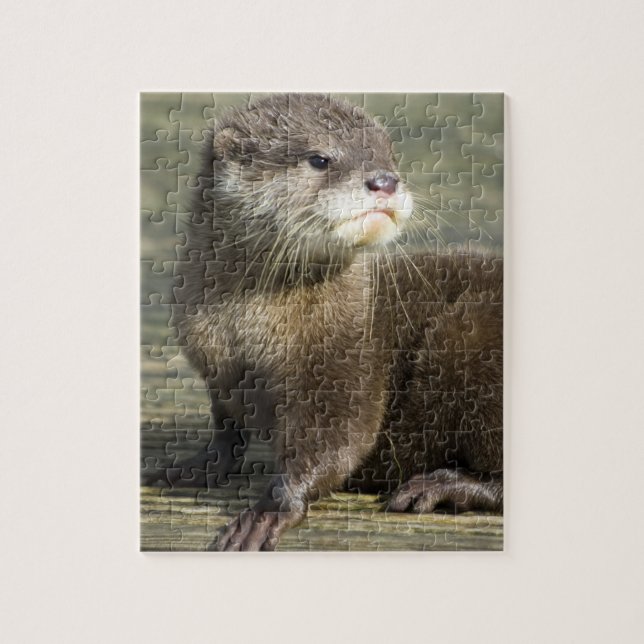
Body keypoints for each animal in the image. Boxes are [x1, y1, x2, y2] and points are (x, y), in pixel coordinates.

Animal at [173, 94, 503, 551]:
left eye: (389, 156)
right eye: (320, 158)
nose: (385, 181)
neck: (247, 333)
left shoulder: (345, 357)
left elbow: (340, 438)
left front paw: (269, 512)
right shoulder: (215, 368)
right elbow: (227, 428)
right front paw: (196, 465)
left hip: (467, 337)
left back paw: (440, 486)